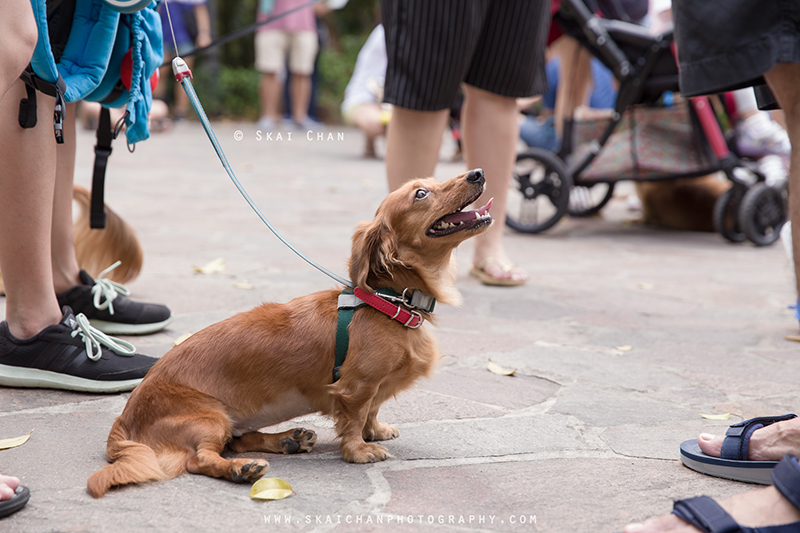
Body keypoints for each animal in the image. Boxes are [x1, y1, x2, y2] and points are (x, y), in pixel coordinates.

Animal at [84, 168, 490, 496]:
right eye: (420, 194)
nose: (478, 173)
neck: (389, 302)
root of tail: (124, 418)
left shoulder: (375, 387)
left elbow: (373, 410)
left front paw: (375, 430)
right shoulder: (357, 386)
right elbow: (356, 416)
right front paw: (360, 450)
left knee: (237, 440)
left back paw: (286, 441)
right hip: (208, 417)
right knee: (201, 459)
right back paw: (242, 470)